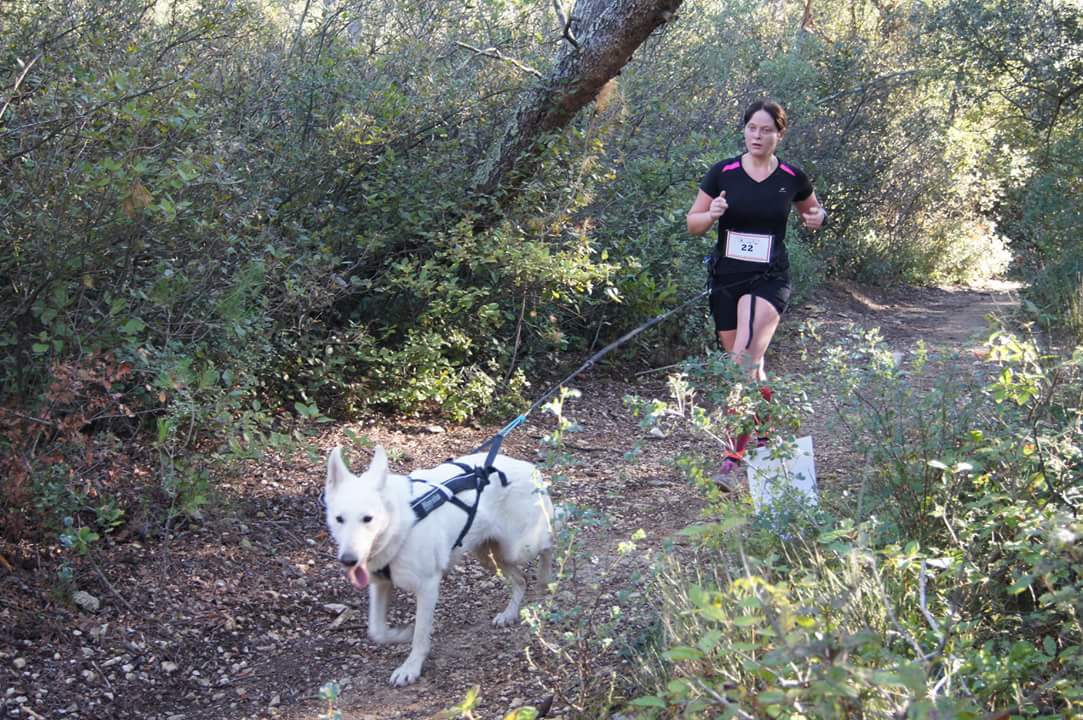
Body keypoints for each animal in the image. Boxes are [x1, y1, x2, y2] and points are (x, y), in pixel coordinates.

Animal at [320, 443, 558, 684]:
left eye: (368, 519)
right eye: (339, 519)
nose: (348, 560)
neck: (399, 523)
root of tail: (530, 468)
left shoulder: (427, 587)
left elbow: (420, 634)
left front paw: (411, 667)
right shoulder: (380, 585)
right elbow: (377, 630)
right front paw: (401, 634)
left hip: (520, 547)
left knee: (549, 542)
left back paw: (546, 580)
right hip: (489, 555)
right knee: (521, 579)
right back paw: (510, 613)